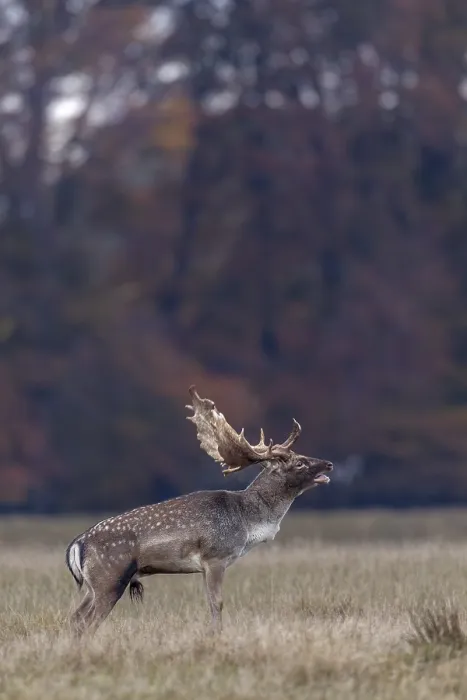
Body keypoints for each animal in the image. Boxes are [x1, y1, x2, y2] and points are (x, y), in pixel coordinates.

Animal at [66, 386, 333, 633]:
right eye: (300, 463)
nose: (329, 464)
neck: (247, 522)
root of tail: (78, 544)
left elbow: (211, 603)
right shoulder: (215, 556)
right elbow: (217, 603)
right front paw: (216, 634)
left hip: (94, 584)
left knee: (75, 617)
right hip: (110, 577)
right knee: (87, 621)